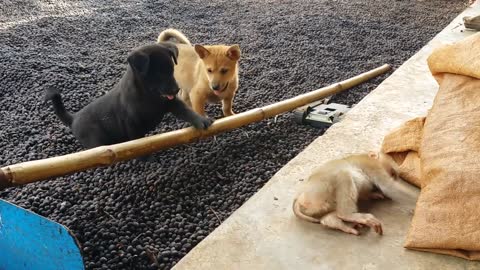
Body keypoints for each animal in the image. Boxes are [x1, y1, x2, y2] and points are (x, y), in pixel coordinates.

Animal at [45, 42, 212, 149]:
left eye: (172, 70)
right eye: (158, 74)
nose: (176, 90)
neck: (148, 95)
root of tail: (73, 118)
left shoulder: (171, 103)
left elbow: (187, 111)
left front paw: (202, 120)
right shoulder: (131, 123)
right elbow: (137, 141)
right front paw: (146, 158)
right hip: (95, 139)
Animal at [290, 152, 418, 236]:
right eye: (392, 173)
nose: (393, 176)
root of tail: (299, 197)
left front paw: (373, 194)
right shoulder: (371, 165)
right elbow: (389, 187)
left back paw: (339, 224)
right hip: (317, 193)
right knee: (344, 175)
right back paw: (348, 215)